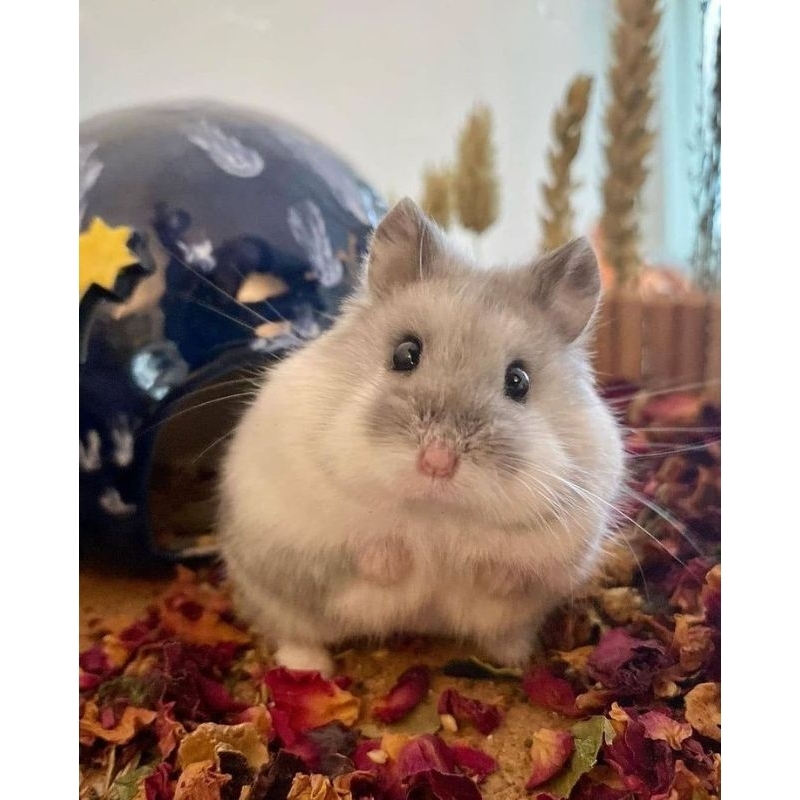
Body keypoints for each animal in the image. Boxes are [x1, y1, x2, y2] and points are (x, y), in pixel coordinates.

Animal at [218, 198, 625, 676]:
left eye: (519, 381)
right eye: (405, 353)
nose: (437, 463)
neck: (435, 514)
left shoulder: (560, 541)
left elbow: (509, 571)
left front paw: (474, 571)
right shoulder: (304, 522)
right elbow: (366, 551)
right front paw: (398, 561)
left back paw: (516, 658)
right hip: (272, 596)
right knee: (293, 632)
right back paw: (309, 669)